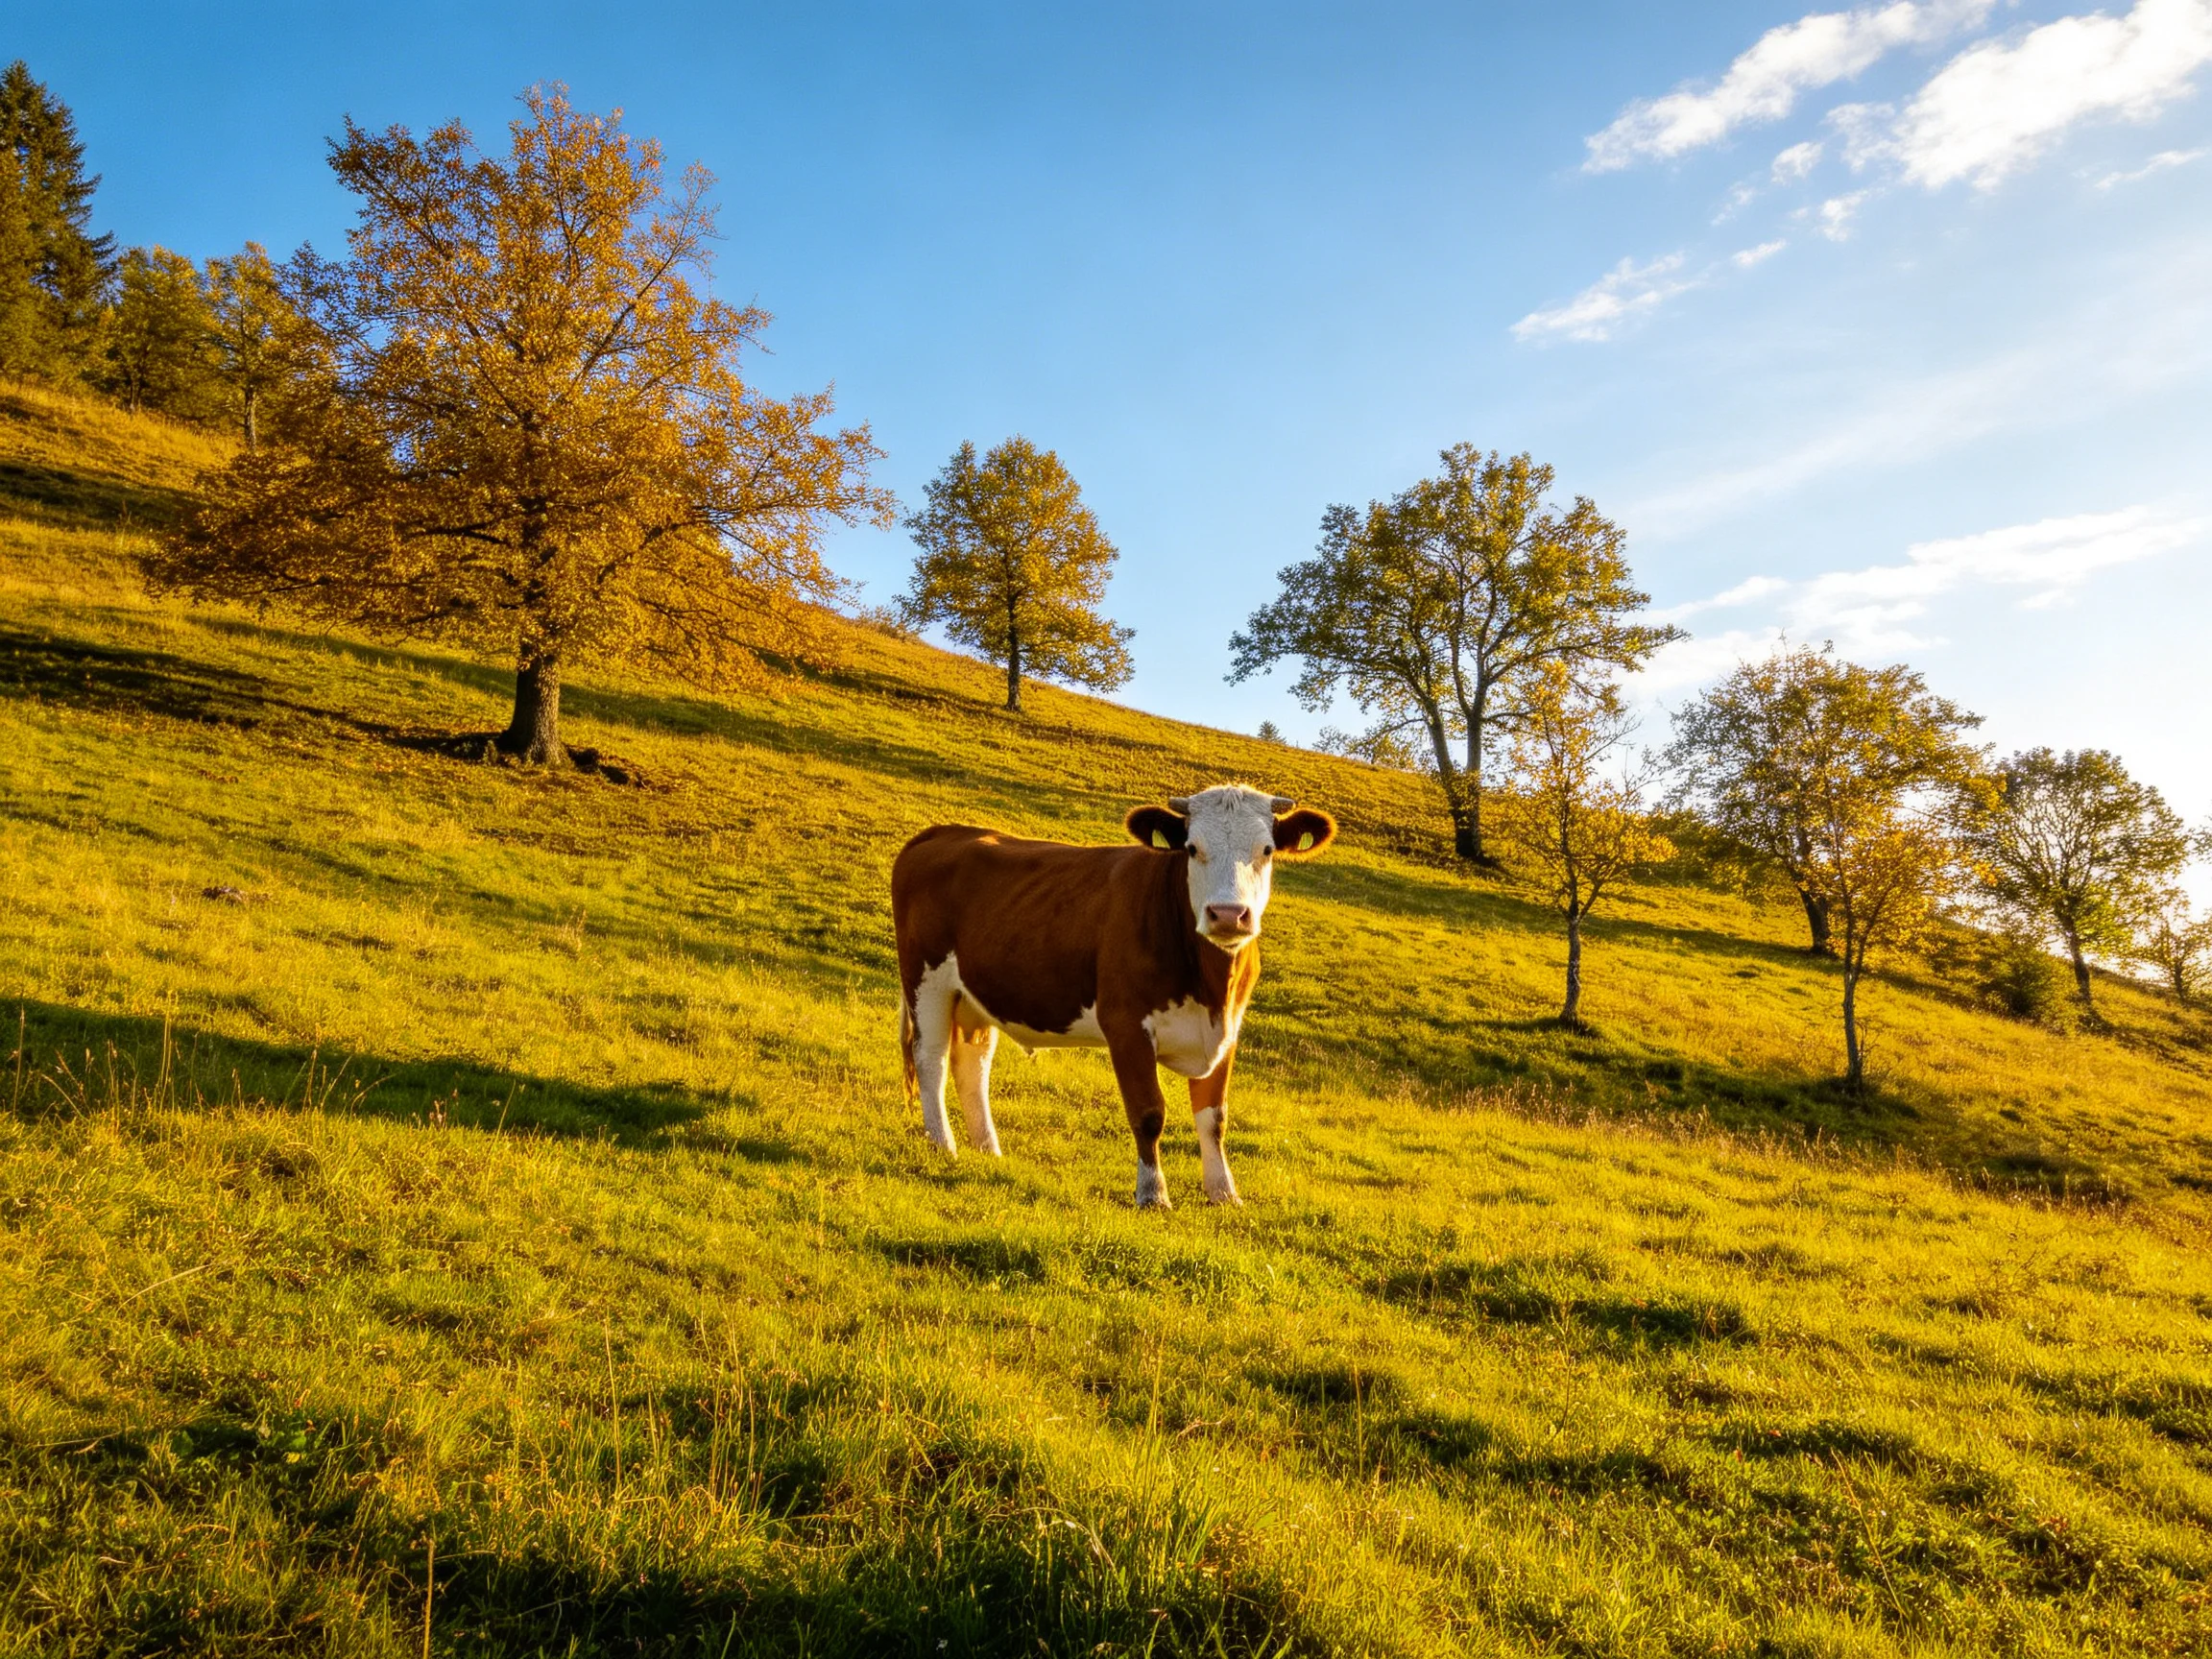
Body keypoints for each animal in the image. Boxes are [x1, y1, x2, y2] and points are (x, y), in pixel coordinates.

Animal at [892, 783, 1336, 1209]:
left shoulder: (1227, 1031)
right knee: (931, 1059)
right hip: (926, 980)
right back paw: (942, 1144)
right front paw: (1153, 1194)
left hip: (973, 996)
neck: (1211, 986)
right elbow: (1149, 1112)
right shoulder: (1126, 1024)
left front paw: (1224, 1193)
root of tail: (944, 832)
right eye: (1192, 848)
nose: (1228, 914)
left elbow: (1214, 1118)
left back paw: (988, 1151)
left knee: (973, 1062)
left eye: (1267, 850)